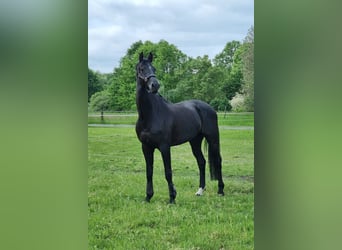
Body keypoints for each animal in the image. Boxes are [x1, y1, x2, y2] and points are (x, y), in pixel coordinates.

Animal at [136, 52, 224, 203]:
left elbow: (168, 172)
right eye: (141, 69)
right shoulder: (146, 147)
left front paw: (172, 198)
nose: (155, 85)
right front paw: (148, 197)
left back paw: (220, 191)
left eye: (154, 68)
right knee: (201, 162)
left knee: (218, 161)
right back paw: (200, 190)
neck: (149, 115)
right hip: (195, 141)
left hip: (212, 139)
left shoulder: (164, 147)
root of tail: (209, 107)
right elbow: (149, 172)